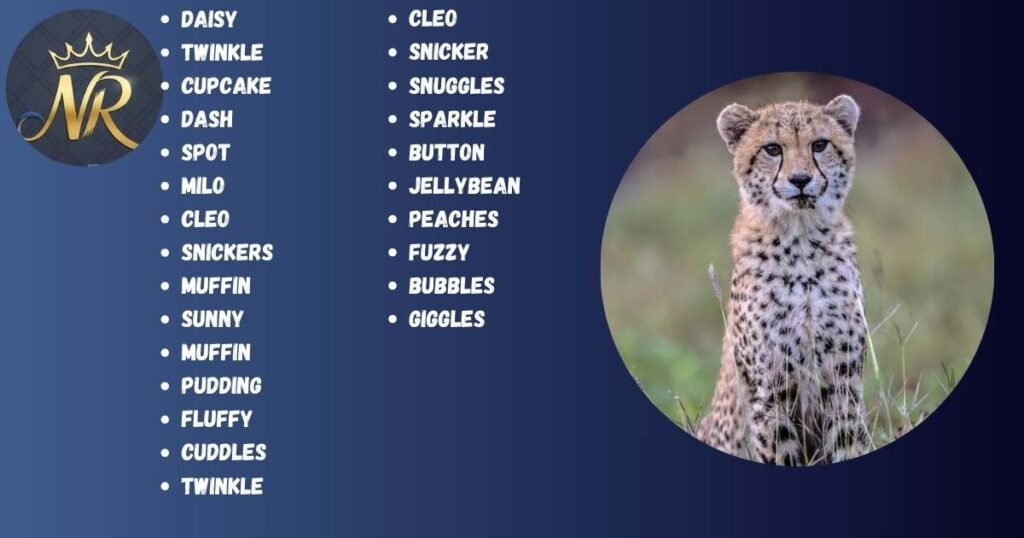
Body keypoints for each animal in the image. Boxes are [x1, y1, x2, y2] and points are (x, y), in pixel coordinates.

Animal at [695, 95, 870, 465]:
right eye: (773, 149)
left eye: (819, 145)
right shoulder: (772, 392)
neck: (800, 241)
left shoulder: (842, 382)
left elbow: (846, 442)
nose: (800, 179)